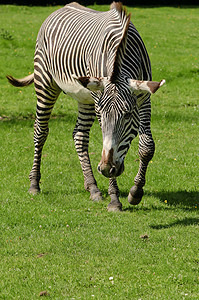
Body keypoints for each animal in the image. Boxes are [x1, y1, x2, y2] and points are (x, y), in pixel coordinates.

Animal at [6, 2, 165, 213]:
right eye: (102, 115)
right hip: (46, 83)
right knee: (40, 131)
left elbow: (147, 146)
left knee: (79, 136)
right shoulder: (99, 102)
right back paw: (34, 184)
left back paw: (92, 187)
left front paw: (136, 192)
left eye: (128, 115)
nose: (105, 168)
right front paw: (114, 199)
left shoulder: (144, 98)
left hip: (85, 97)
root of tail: (62, 8)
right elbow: (108, 143)